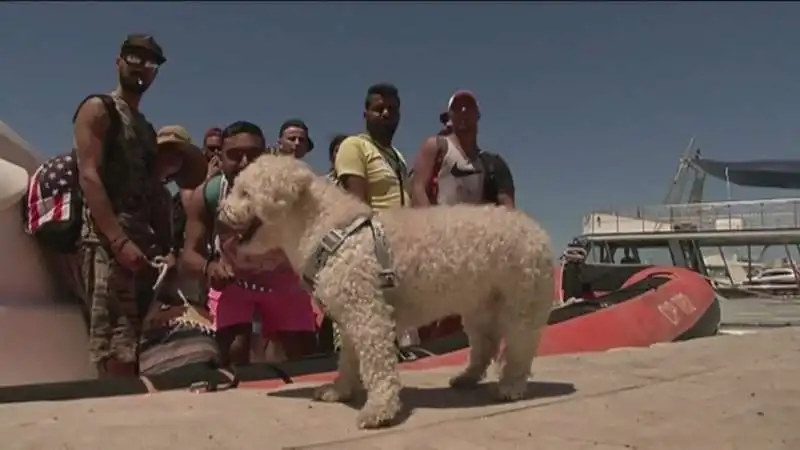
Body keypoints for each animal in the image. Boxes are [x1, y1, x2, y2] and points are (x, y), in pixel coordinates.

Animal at [219, 155, 556, 428]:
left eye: (244, 192)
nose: (221, 211)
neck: (327, 228)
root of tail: (538, 230)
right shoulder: (349, 314)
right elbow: (349, 359)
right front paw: (339, 390)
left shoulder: (368, 313)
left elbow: (376, 363)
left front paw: (379, 410)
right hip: (479, 305)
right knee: (485, 343)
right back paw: (468, 377)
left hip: (521, 300)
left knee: (520, 346)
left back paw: (511, 386)